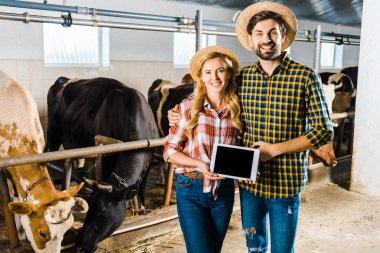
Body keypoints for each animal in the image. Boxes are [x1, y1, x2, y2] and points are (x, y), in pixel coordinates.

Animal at [45, 76, 159, 253]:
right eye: (90, 207)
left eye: (102, 210)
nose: (80, 245)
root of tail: (64, 79)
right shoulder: (106, 158)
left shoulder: (149, 162)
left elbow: (142, 188)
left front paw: (142, 209)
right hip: (53, 133)